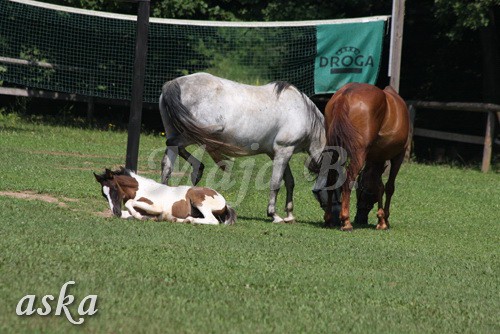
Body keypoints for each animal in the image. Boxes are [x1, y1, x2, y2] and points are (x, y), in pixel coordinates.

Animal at [95, 168, 236, 226]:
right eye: (103, 194)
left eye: (114, 188)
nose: (116, 212)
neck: (142, 189)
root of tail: (224, 203)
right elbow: (128, 213)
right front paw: (149, 217)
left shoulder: (156, 206)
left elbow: (129, 203)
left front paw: (142, 217)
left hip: (198, 199)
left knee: (213, 220)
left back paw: (189, 220)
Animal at [314, 82, 408, 231]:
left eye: (361, 191)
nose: (360, 218)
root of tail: (345, 95)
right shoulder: (398, 156)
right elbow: (388, 187)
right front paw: (385, 219)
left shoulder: (376, 158)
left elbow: (379, 186)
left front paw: (381, 219)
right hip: (358, 154)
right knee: (347, 180)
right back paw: (346, 222)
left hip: (334, 150)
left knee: (331, 179)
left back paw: (329, 219)